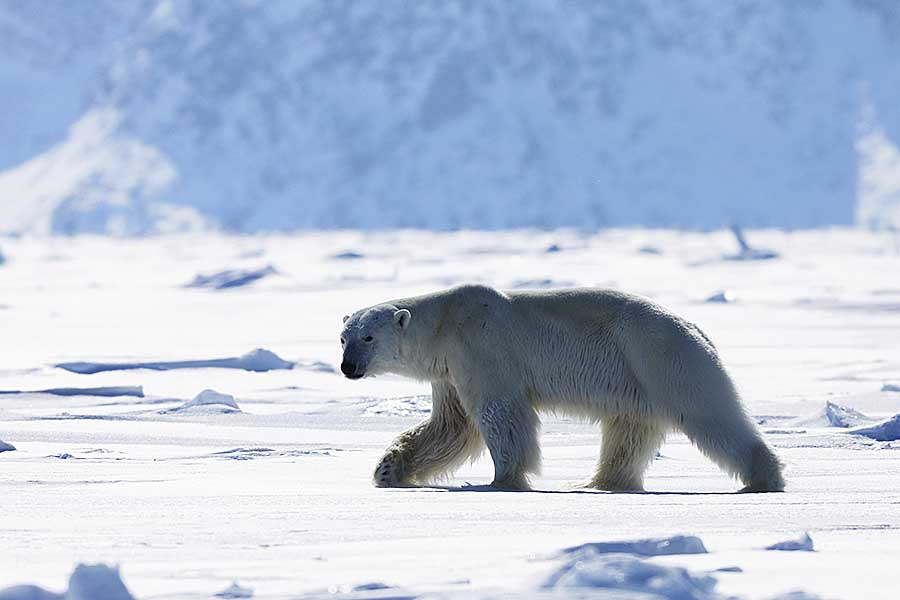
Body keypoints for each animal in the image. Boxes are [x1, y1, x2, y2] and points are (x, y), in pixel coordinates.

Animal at [342, 286, 784, 492]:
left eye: (368, 338)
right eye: (344, 337)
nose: (348, 367)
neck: (445, 321)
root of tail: (697, 329)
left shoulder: (483, 349)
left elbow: (499, 414)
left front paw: (500, 479)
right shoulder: (448, 371)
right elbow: (449, 427)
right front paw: (388, 469)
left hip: (663, 359)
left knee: (711, 414)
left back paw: (764, 478)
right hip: (636, 379)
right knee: (629, 432)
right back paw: (602, 481)